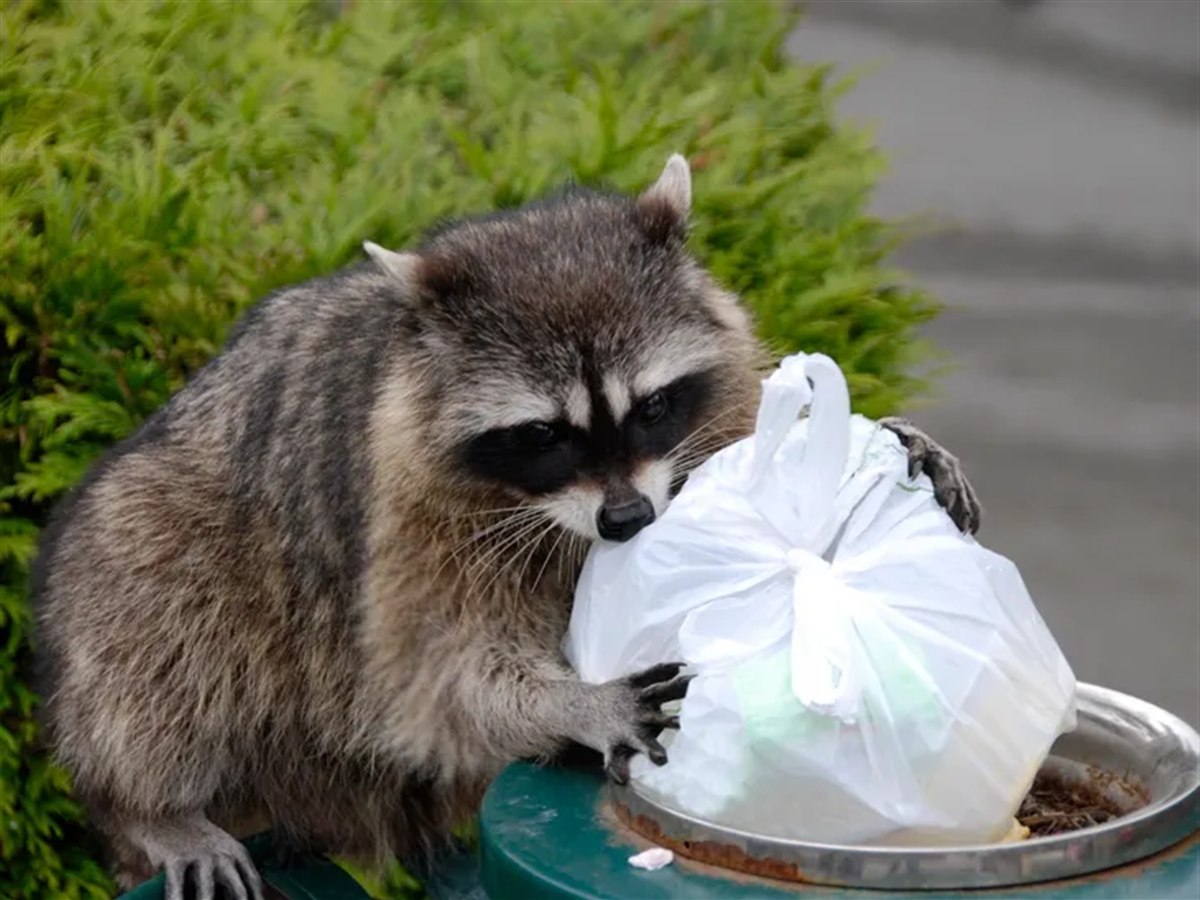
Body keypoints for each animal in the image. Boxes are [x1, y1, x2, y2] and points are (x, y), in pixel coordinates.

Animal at [31, 155, 979, 900]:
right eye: (544, 435)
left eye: (651, 408)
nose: (627, 519)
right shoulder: (406, 523)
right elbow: (437, 679)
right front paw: (575, 701)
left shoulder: (712, 408)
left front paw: (888, 444)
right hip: (160, 533)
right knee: (152, 608)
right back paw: (151, 806)